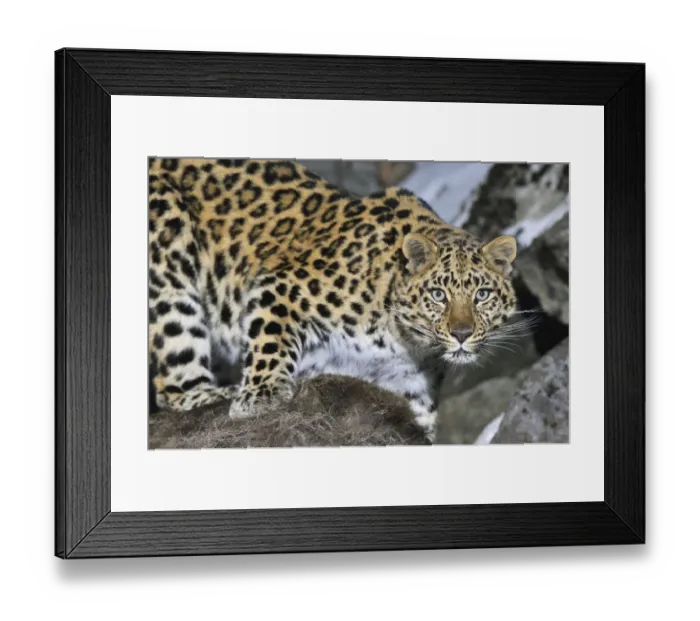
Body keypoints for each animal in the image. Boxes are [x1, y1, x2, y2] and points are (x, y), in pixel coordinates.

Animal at [148, 157, 519, 442]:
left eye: (482, 295)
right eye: (439, 295)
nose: (461, 334)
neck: (406, 341)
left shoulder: (408, 385)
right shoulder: (281, 285)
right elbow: (270, 341)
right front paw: (260, 398)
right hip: (169, 251)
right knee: (173, 385)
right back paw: (217, 393)